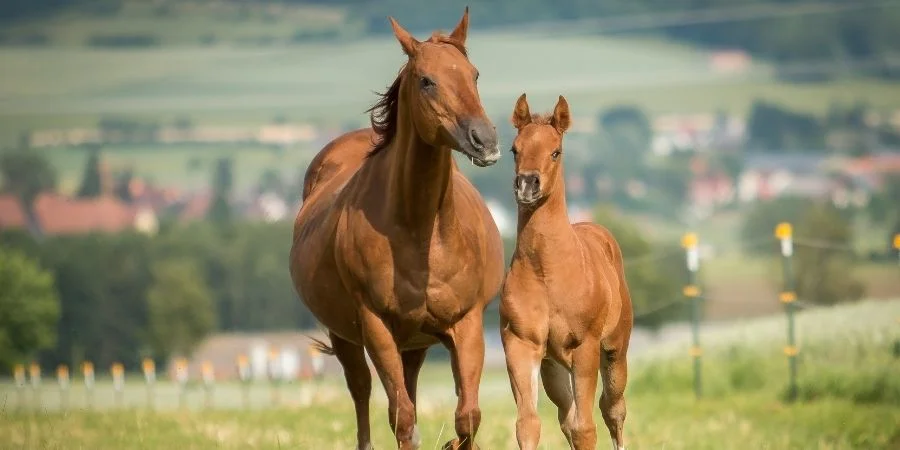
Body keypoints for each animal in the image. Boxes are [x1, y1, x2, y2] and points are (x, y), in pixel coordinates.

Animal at [289, 8, 505, 450]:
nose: (485, 140)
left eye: (474, 74)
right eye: (427, 80)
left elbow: (467, 417)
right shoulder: (376, 328)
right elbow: (401, 418)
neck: (423, 233)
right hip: (347, 336)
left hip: (415, 343)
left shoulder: (466, 325)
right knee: (362, 392)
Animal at [499, 94, 634, 450]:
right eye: (514, 149)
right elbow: (528, 425)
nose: (526, 184)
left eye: (555, 151)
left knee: (612, 409)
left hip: (614, 351)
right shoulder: (521, 345)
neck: (548, 272)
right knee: (567, 417)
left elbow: (586, 427)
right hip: (554, 368)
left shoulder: (584, 348)